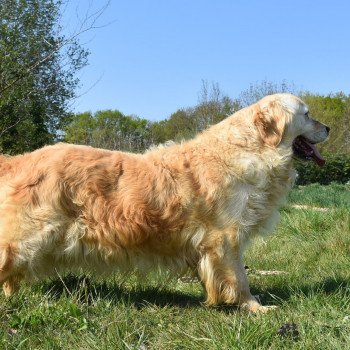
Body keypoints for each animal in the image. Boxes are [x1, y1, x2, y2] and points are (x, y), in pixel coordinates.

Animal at [0, 93, 328, 312]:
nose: (329, 128)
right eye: (307, 114)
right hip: (26, 237)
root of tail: (20, 160)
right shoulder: (225, 237)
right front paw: (254, 307)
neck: (250, 150)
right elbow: (240, 278)